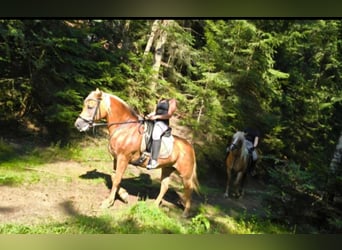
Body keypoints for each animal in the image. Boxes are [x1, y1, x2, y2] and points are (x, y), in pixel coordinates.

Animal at [73, 88, 199, 217]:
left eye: (90, 106)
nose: (78, 125)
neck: (124, 128)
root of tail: (189, 146)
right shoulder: (116, 158)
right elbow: (114, 176)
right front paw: (123, 195)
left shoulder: (123, 158)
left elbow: (117, 179)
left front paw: (108, 202)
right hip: (167, 168)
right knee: (164, 186)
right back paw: (154, 206)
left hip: (185, 175)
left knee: (189, 189)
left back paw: (185, 213)